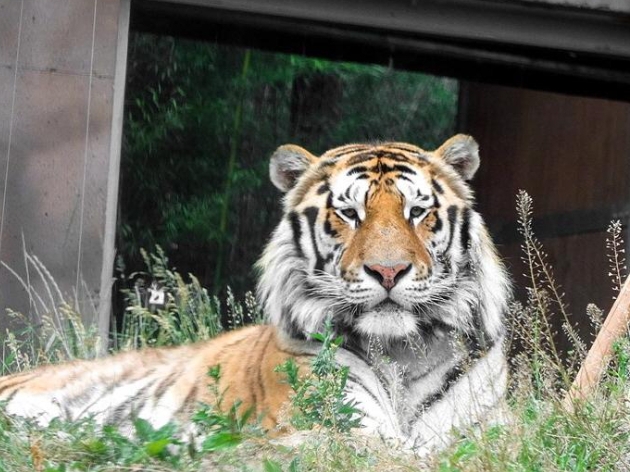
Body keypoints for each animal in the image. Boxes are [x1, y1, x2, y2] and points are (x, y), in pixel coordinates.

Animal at [0, 135, 512, 456]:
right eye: (349, 213)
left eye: (417, 212)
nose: (388, 271)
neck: (400, 353)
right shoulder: (339, 419)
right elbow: (380, 447)